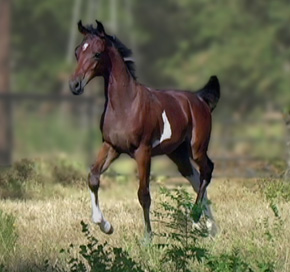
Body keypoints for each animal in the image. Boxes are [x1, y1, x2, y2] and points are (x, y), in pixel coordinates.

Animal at [69, 20, 220, 237]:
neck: (126, 105)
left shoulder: (143, 151)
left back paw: (196, 220)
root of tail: (201, 100)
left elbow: (144, 193)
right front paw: (105, 225)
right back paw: (209, 226)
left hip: (197, 148)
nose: (75, 85)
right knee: (196, 177)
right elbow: (93, 177)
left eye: (97, 53)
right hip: (178, 153)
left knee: (207, 170)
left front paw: (148, 236)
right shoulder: (111, 146)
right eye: (76, 52)